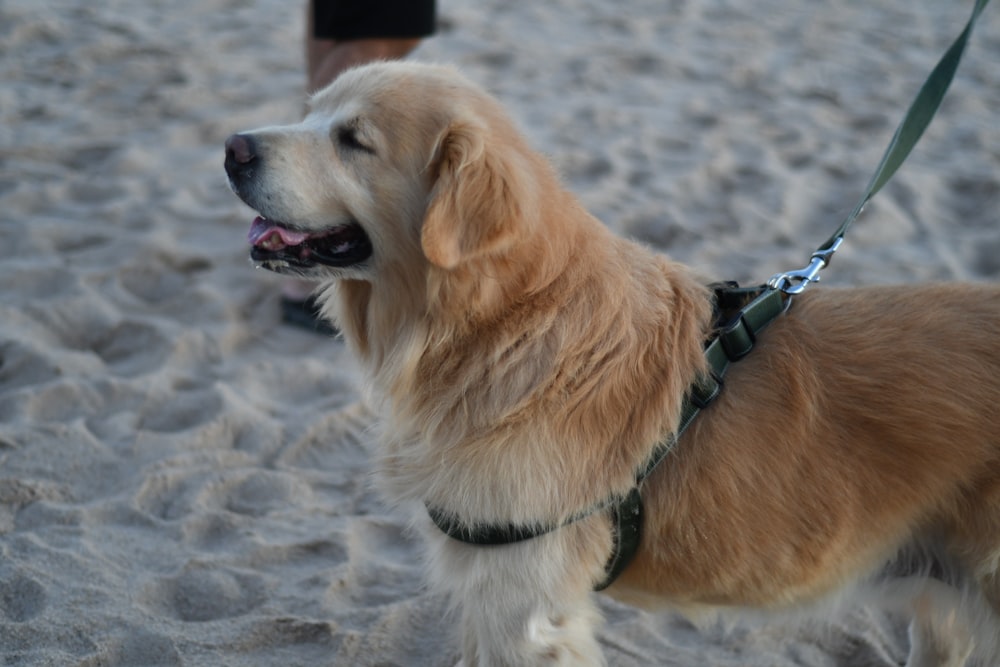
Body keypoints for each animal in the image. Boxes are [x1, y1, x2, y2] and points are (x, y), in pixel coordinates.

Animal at [227, 61, 1000, 664]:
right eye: (310, 112)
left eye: (353, 140)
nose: (232, 147)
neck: (505, 323)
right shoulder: (486, 587)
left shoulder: (523, 603)